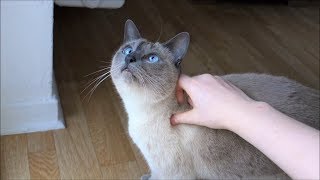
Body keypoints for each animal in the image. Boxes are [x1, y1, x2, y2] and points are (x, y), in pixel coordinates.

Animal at [109, 19, 318, 179]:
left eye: (152, 58)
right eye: (127, 51)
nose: (130, 59)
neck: (138, 112)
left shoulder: (170, 173)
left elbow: (156, 176)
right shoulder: (158, 168)